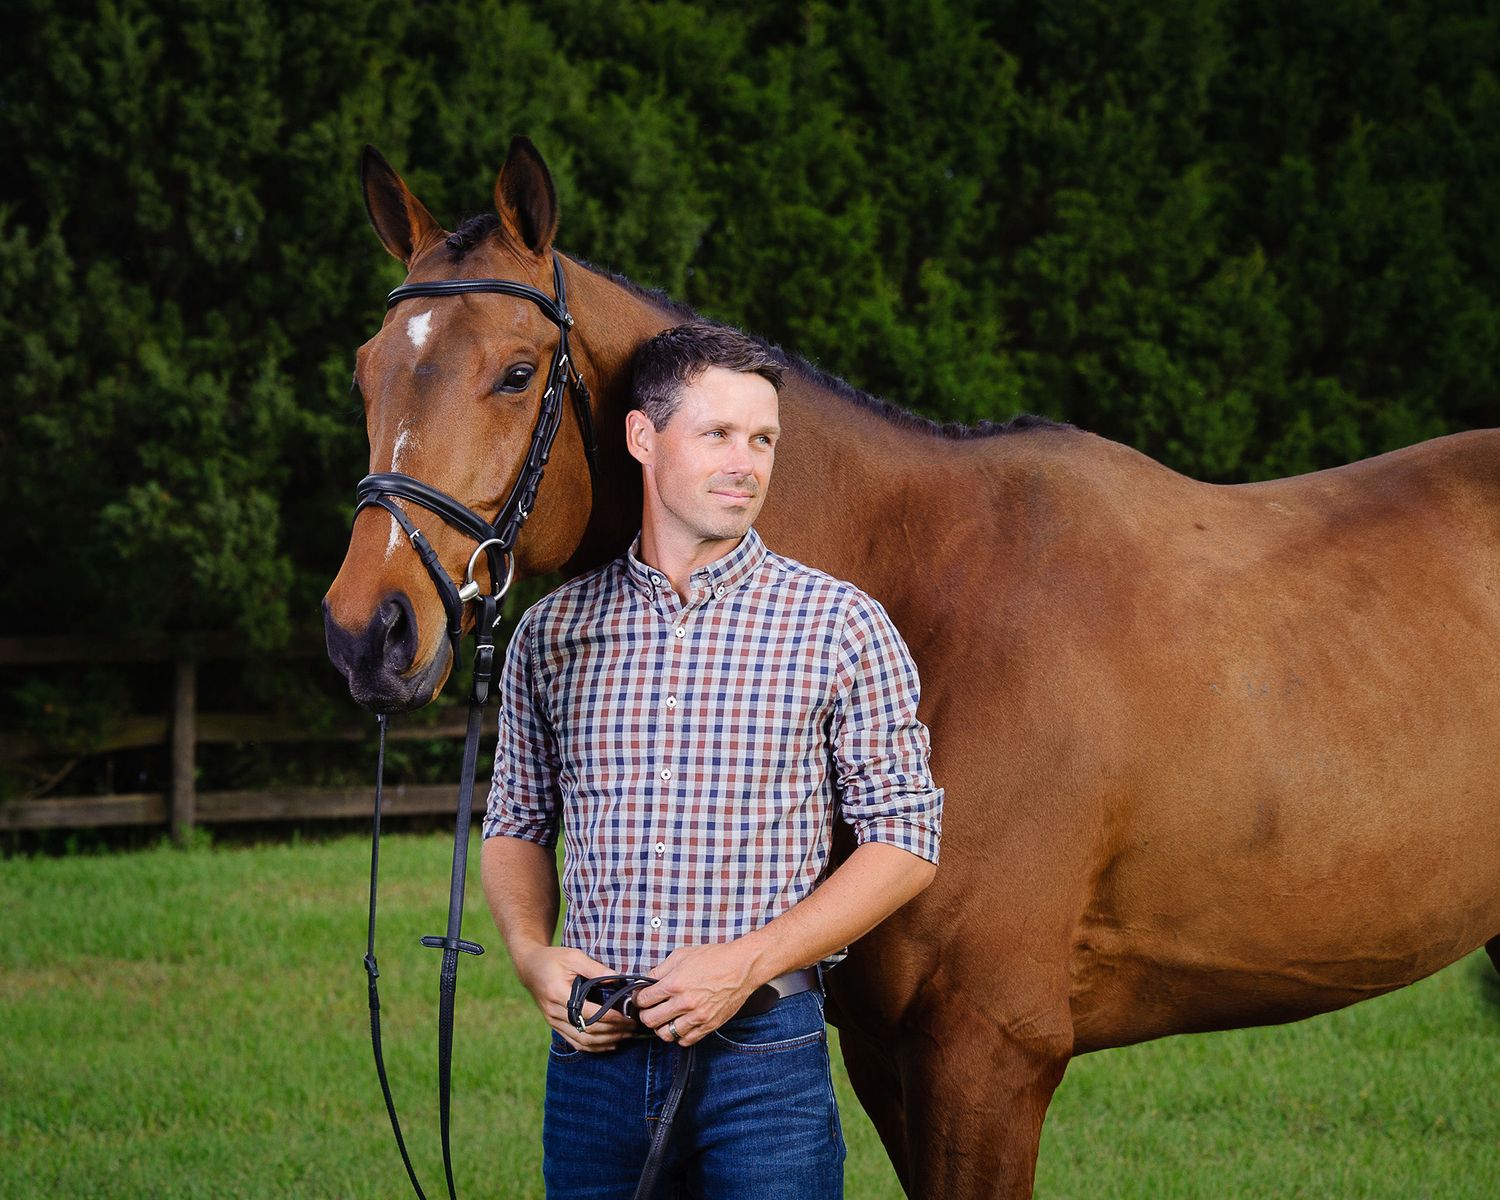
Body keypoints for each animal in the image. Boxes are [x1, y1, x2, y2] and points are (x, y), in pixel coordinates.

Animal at [323, 137, 1500, 1198]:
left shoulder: (989, 1054)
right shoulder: (888, 1055)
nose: (365, 632)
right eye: (368, 371)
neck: (930, 602)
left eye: (517, 373)